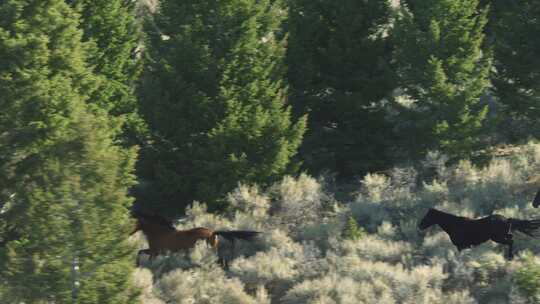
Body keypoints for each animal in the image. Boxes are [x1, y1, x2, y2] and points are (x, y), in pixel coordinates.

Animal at [130, 211, 258, 266]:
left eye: (134, 223)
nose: (129, 232)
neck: (159, 232)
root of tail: (212, 232)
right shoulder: (155, 252)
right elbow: (141, 252)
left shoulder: (155, 251)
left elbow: (141, 253)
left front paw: (138, 265)